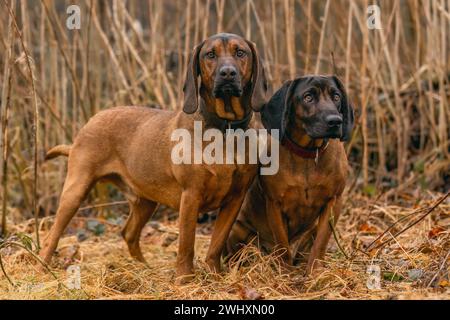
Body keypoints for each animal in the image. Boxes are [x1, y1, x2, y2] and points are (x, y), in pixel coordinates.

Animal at [41, 33, 268, 282]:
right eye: (210, 54)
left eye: (240, 52)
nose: (228, 73)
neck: (225, 129)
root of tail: (89, 123)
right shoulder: (190, 196)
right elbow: (186, 245)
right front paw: (184, 280)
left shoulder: (235, 199)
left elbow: (216, 244)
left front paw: (214, 275)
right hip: (76, 191)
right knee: (51, 236)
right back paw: (42, 269)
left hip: (145, 200)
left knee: (129, 233)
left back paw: (143, 268)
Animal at [227, 75, 354, 276]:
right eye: (308, 97)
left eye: (336, 96)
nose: (335, 121)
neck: (308, 153)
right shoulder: (275, 204)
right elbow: (282, 245)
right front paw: (285, 273)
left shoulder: (334, 201)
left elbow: (321, 243)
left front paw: (315, 272)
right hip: (238, 230)